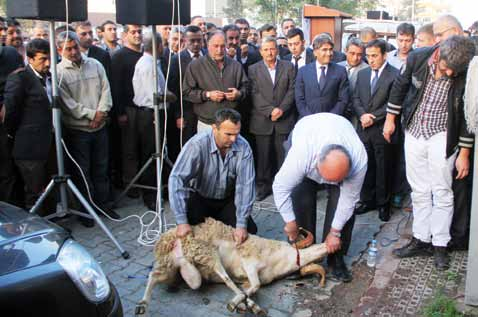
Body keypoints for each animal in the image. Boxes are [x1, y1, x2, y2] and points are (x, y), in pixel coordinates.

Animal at [136, 217, 326, 316]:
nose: (329, 245)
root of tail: (168, 239)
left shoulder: (248, 278)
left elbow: (249, 288)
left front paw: (246, 303)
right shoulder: (250, 263)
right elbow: (254, 286)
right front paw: (238, 303)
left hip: (172, 267)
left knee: (157, 276)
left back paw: (142, 305)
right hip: (207, 252)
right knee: (226, 279)